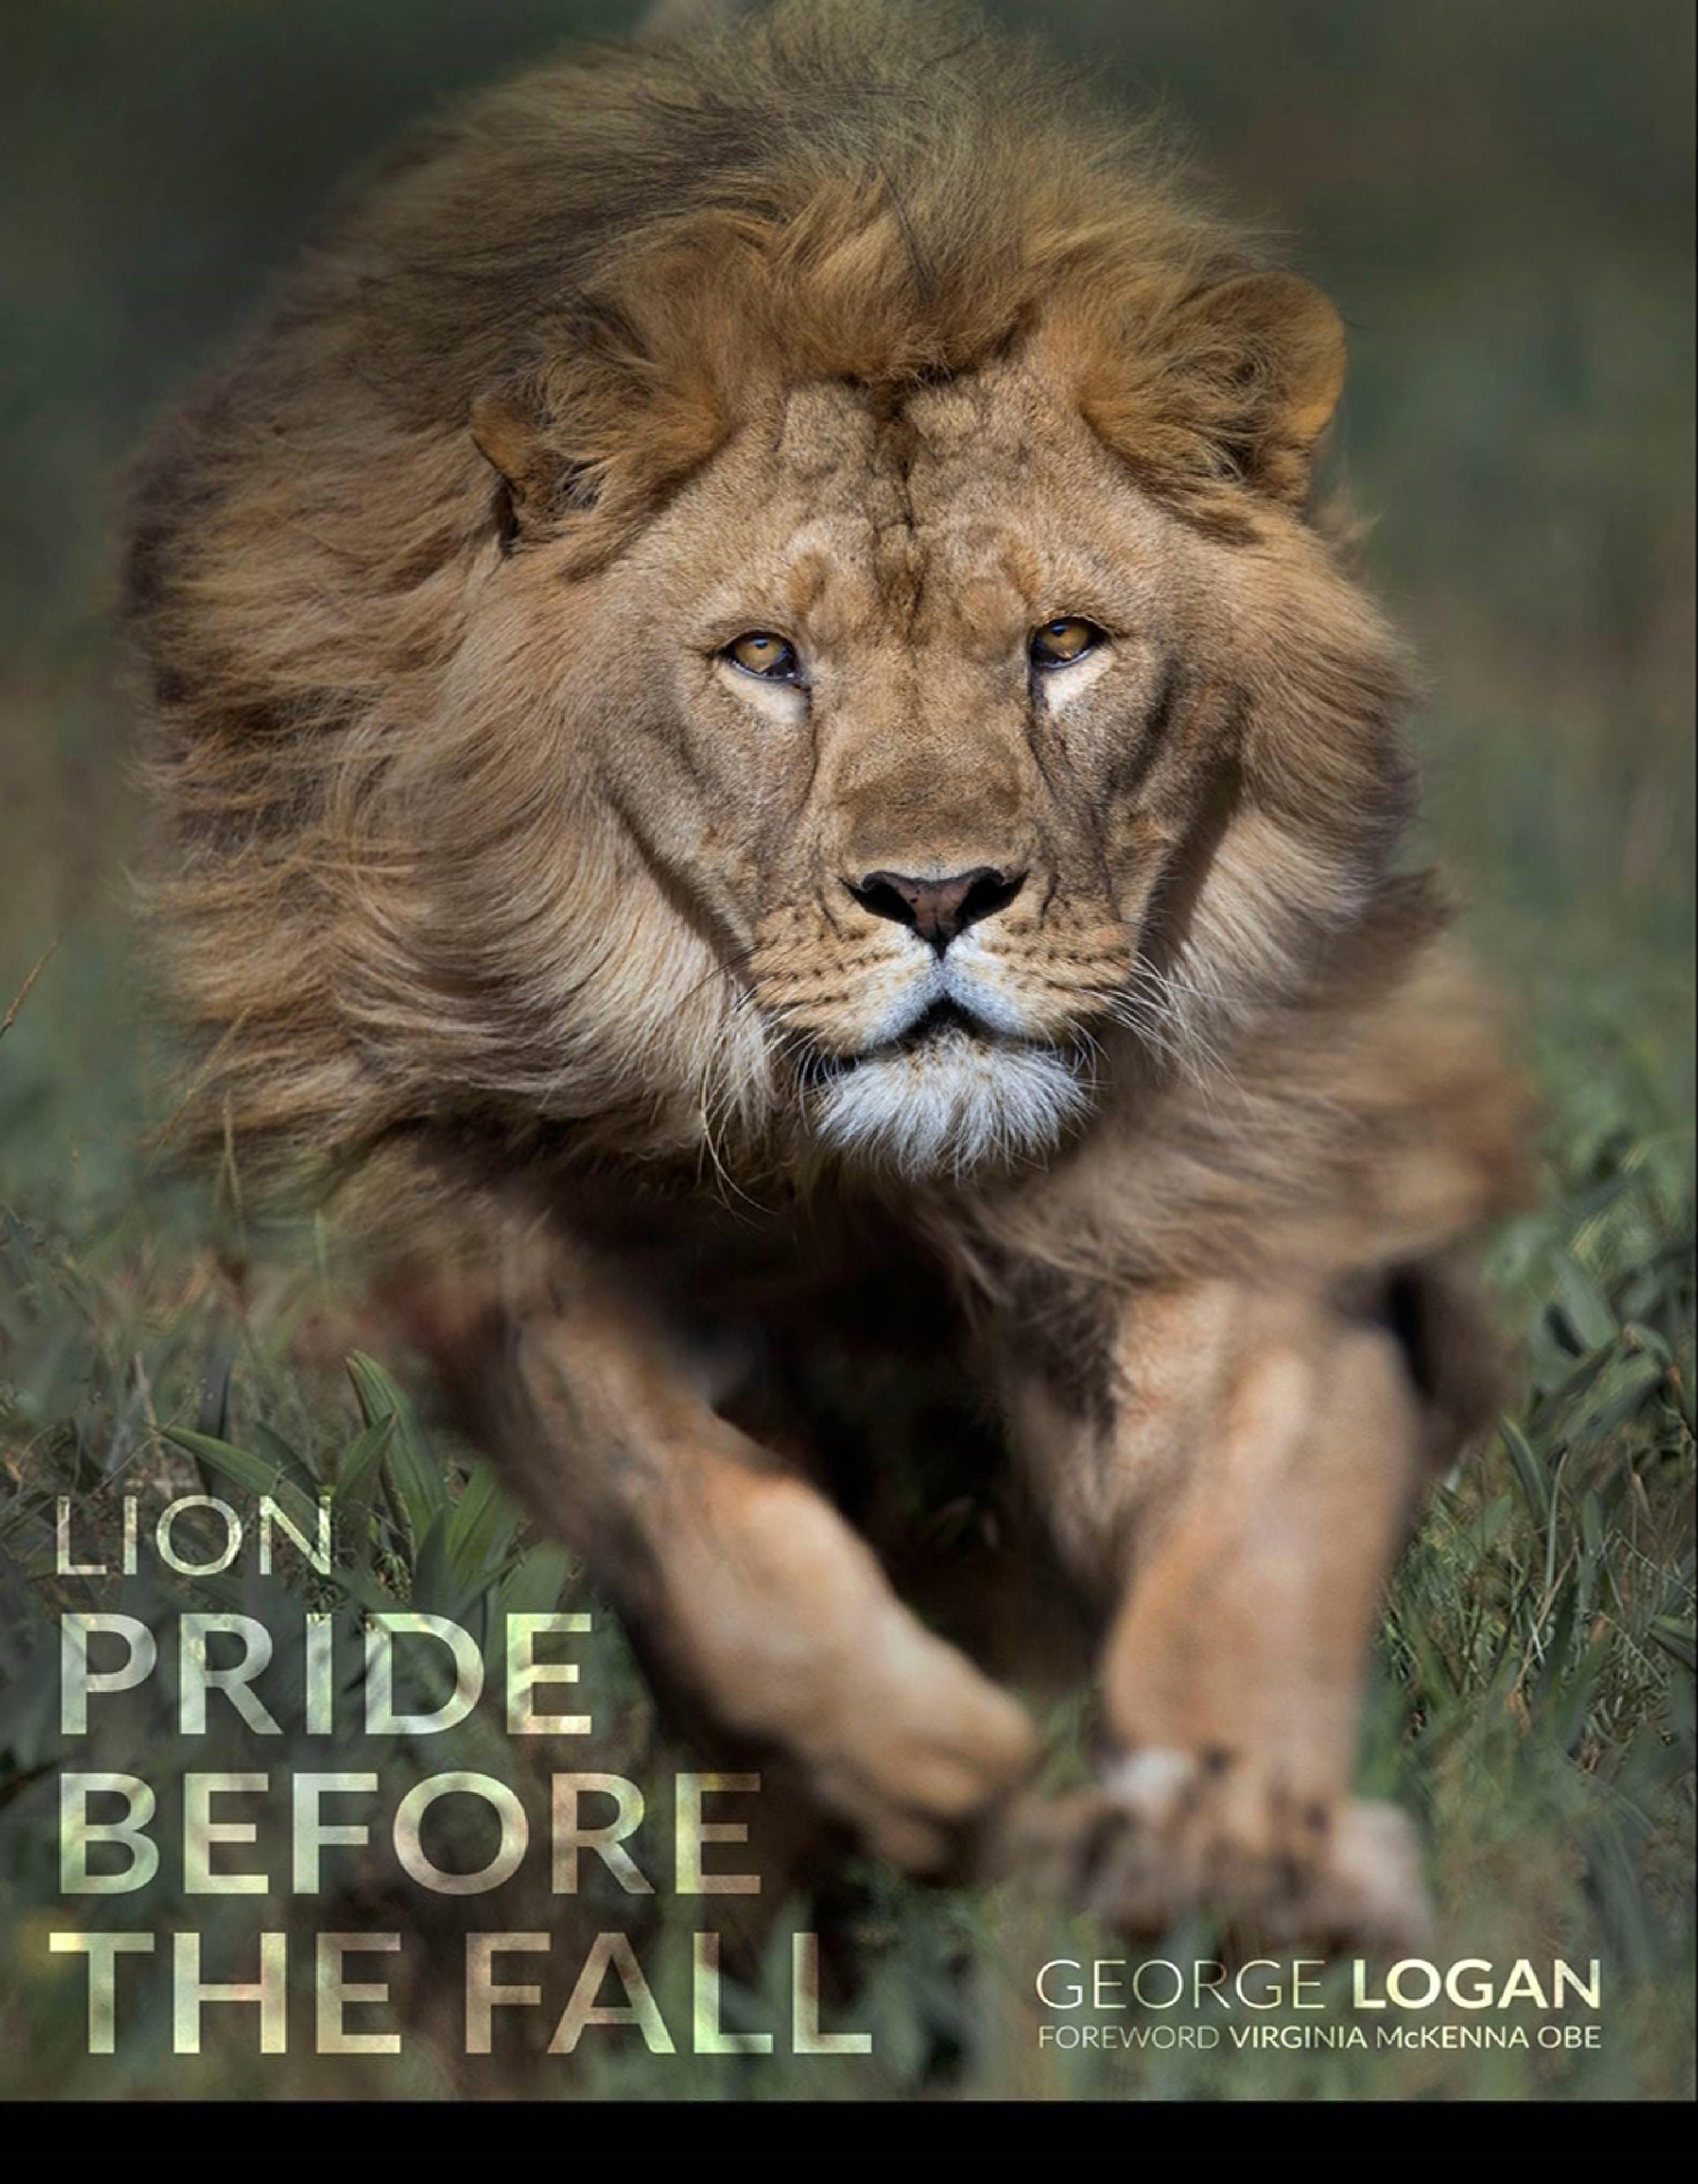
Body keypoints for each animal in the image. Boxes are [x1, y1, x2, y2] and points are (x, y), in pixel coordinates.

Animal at [124, 0, 1528, 1948]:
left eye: (1067, 643)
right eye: (767, 657)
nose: (938, 891)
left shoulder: (1253, 1156)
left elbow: (1250, 1516)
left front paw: (1233, 1833)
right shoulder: (485, 1191)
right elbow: (683, 1492)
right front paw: (915, 1756)